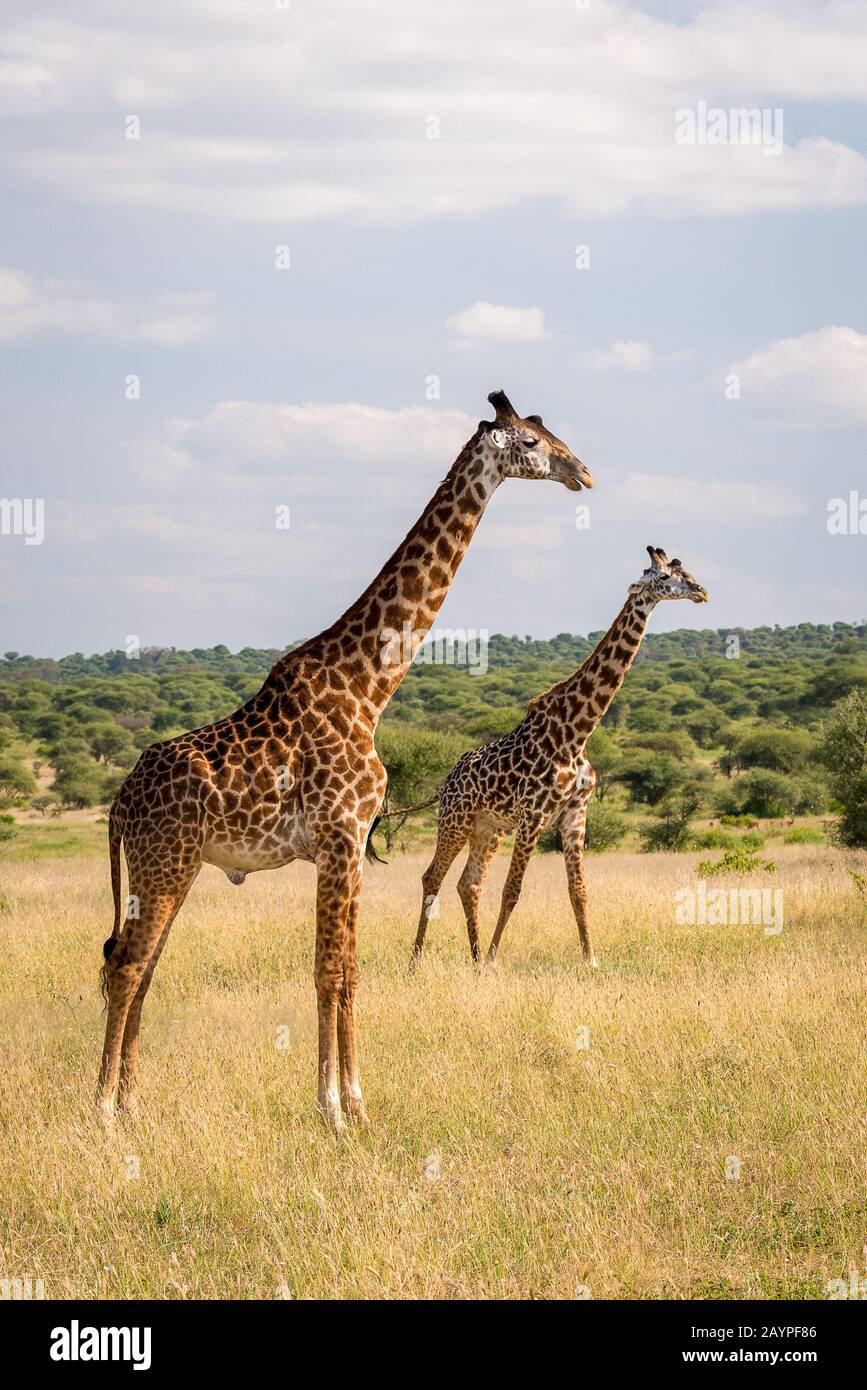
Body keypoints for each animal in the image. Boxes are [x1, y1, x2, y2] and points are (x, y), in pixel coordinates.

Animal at [97, 390, 592, 1131]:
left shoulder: (351, 842)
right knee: (127, 966)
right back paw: (102, 1111)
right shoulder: (341, 836)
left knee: (141, 964)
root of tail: (120, 802)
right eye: (531, 442)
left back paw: (132, 1105)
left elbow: (346, 968)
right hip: (164, 862)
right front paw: (337, 1109)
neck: (368, 686)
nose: (581, 472)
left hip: (170, 868)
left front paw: (350, 1101)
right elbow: (333, 969)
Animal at [412, 547, 708, 969]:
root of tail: (445, 782)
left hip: (489, 828)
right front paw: (494, 960)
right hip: (455, 821)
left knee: (468, 884)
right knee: (432, 877)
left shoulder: (575, 815)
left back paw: (473, 958)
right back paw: (417, 960)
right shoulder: (534, 815)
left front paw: (590, 958)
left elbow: (579, 892)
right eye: (663, 577)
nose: (701, 591)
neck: (576, 733)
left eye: (685, 570)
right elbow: (513, 890)